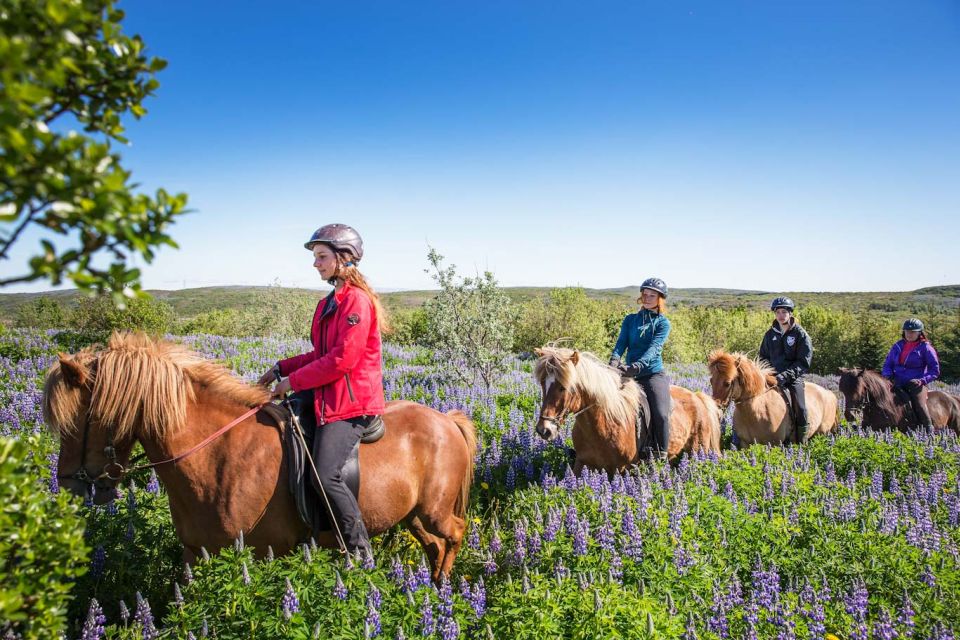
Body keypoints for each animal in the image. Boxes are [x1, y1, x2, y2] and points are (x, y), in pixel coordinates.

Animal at [45, 330, 476, 580]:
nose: (67, 489)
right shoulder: (195, 553)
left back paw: (443, 589)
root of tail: (447, 419)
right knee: (434, 546)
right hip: (411, 515)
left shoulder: (262, 553)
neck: (216, 456)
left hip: (433, 511)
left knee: (454, 533)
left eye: (74, 424)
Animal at [532, 344, 720, 476]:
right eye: (542, 383)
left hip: (697, 450)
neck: (603, 424)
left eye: (563, 387)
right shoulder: (582, 463)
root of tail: (698, 397)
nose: (544, 430)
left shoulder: (623, 469)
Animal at [708, 350, 836, 444]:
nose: (716, 410)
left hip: (822, 433)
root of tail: (830, 394)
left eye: (727, 383)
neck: (756, 411)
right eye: (711, 381)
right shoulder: (746, 444)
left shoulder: (774, 444)